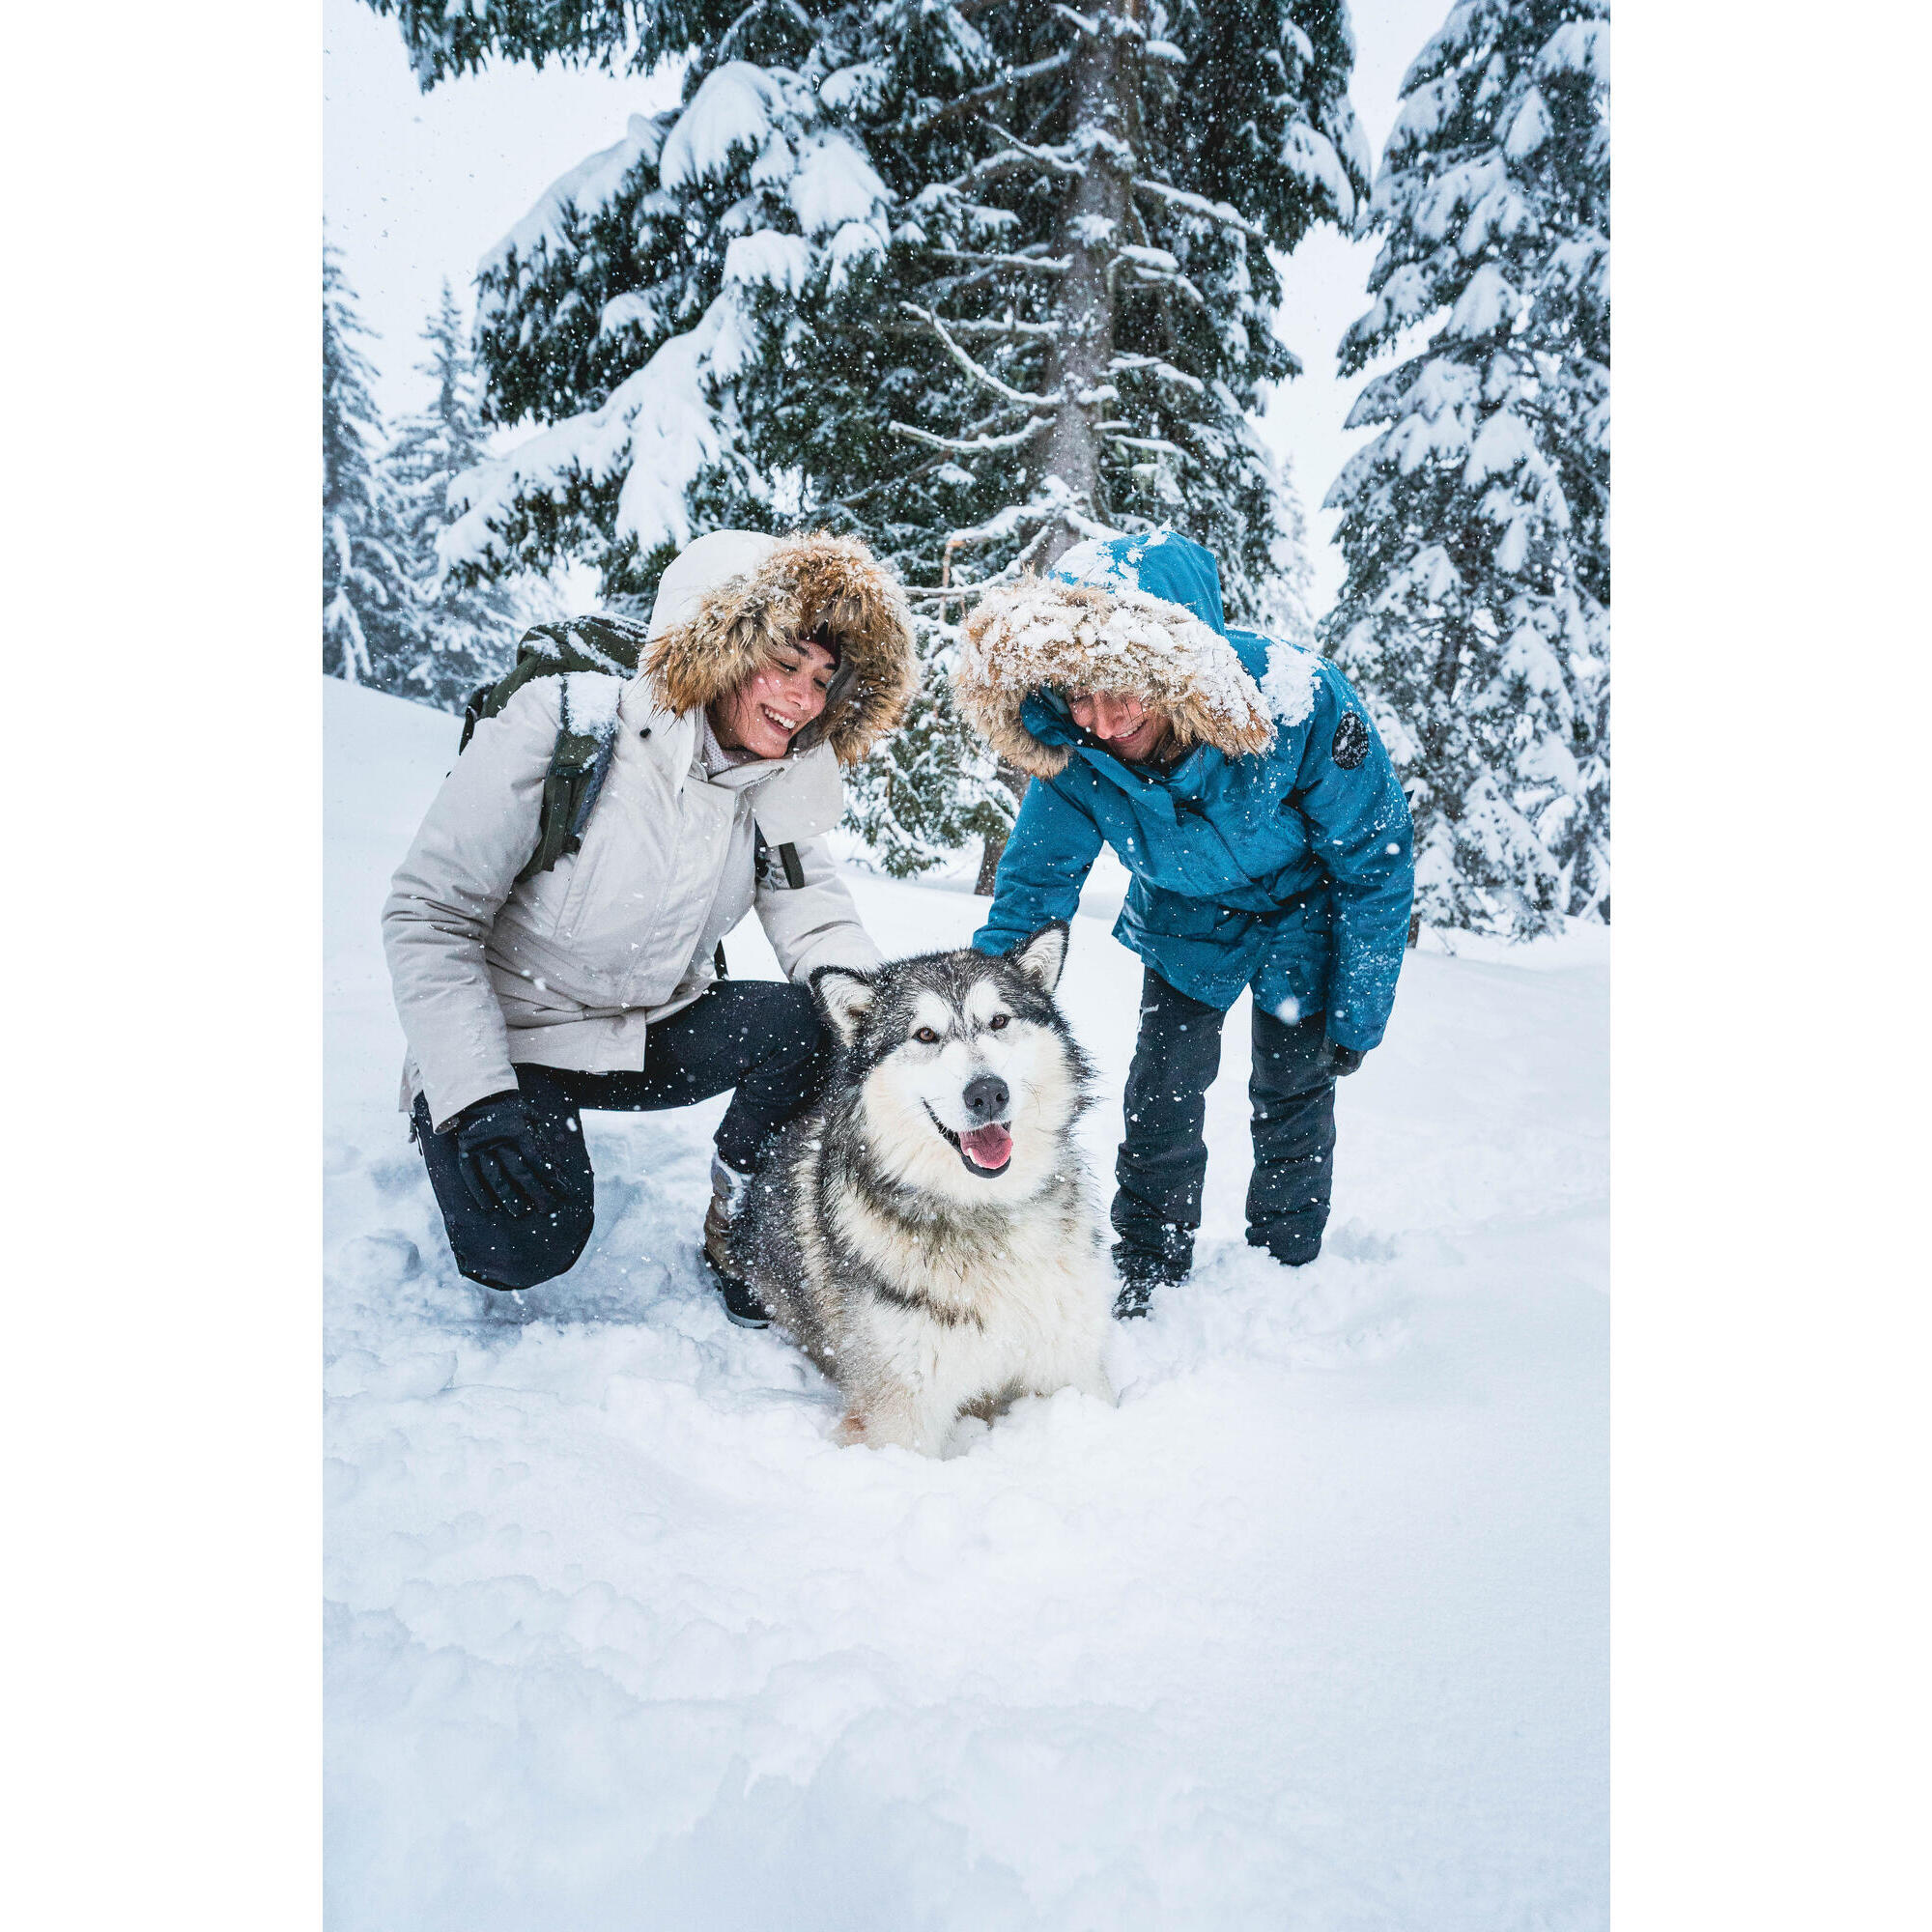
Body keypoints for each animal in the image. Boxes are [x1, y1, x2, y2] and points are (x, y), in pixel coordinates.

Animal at [726, 920, 1121, 1453]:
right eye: (926, 1034)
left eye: (999, 1021)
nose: (988, 1093)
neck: (985, 1214)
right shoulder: (901, 1414)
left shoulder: (1072, 1366)